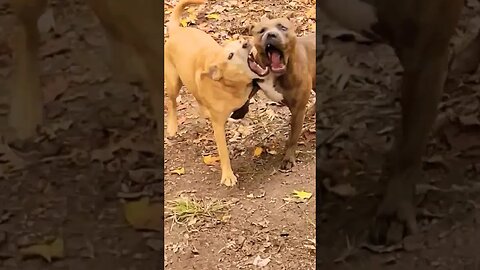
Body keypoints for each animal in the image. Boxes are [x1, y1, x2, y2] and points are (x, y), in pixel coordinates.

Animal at [248, 17, 316, 170]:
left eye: (282, 28)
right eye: (262, 31)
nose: (271, 35)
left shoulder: (298, 110)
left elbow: (293, 137)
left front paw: (288, 158)